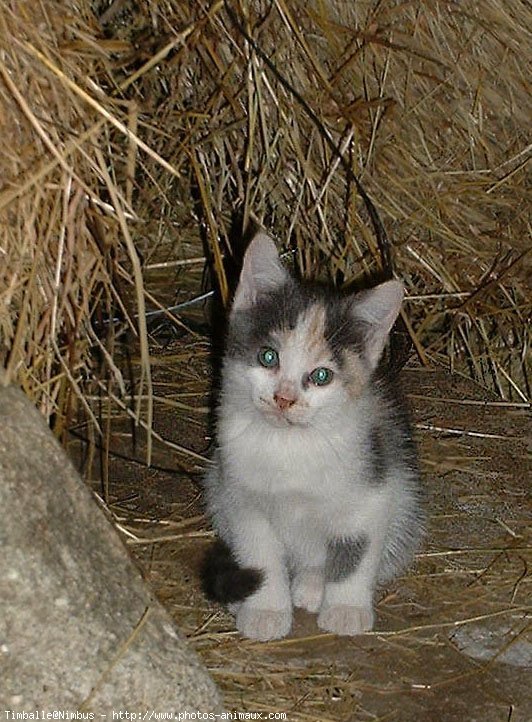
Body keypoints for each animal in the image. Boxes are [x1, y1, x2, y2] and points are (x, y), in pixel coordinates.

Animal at [204, 229, 424, 636]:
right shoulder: (239, 496)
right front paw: (265, 611)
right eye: (268, 357)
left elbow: (356, 550)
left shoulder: (374, 489)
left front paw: (346, 608)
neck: (289, 445)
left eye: (321, 376)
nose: (284, 398)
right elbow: (258, 552)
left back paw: (311, 584)